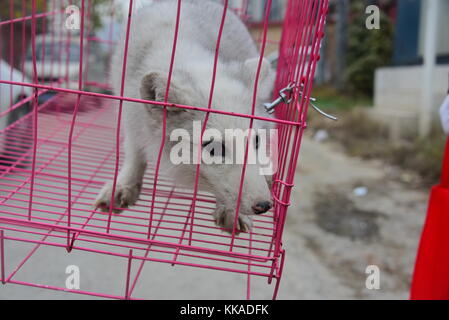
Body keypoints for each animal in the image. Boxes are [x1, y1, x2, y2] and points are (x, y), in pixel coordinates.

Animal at [95, 0, 272, 231]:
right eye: (215, 148)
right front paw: (124, 184)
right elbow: (135, 154)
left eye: (257, 141)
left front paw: (231, 211)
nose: (265, 205)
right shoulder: (131, 116)